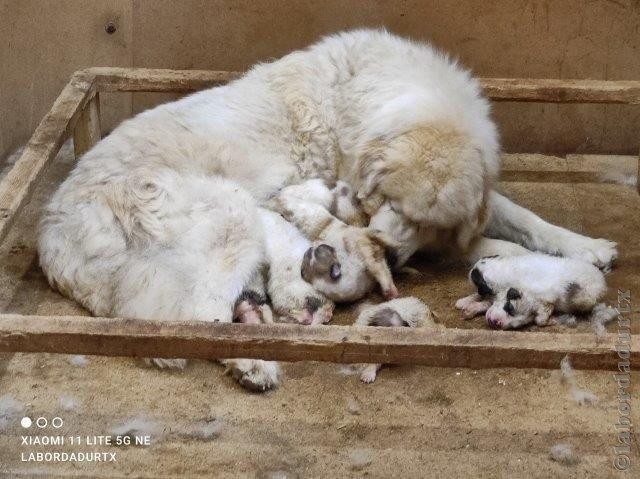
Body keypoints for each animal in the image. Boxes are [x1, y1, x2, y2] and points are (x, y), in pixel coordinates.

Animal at [456, 255, 608, 330]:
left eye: (476, 277)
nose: (470, 271)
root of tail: (601, 279)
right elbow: (483, 298)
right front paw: (464, 302)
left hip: (584, 298)